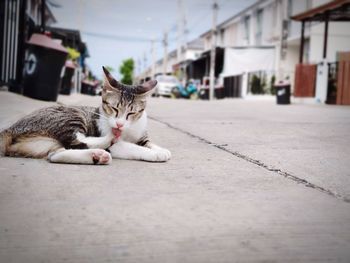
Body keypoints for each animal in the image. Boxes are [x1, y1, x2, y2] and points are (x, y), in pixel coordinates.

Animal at [0, 66, 171, 165]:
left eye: (131, 112)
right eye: (114, 109)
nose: (119, 125)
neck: (128, 129)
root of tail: (11, 128)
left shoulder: (141, 134)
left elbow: (147, 142)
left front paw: (161, 149)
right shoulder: (116, 142)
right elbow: (130, 146)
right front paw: (155, 154)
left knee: (56, 154)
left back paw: (97, 156)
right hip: (71, 116)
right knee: (77, 140)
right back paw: (106, 142)